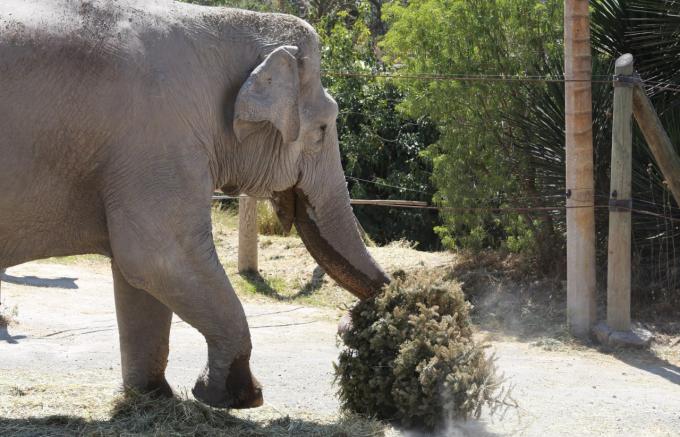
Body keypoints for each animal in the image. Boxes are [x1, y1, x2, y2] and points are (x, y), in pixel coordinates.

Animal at [0, 0, 388, 408]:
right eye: (323, 129)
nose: (350, 323)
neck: (219, 25)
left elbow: (139, 278)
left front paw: (154, 396)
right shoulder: (160, 139)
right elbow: (158, 257)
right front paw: (239, 397)